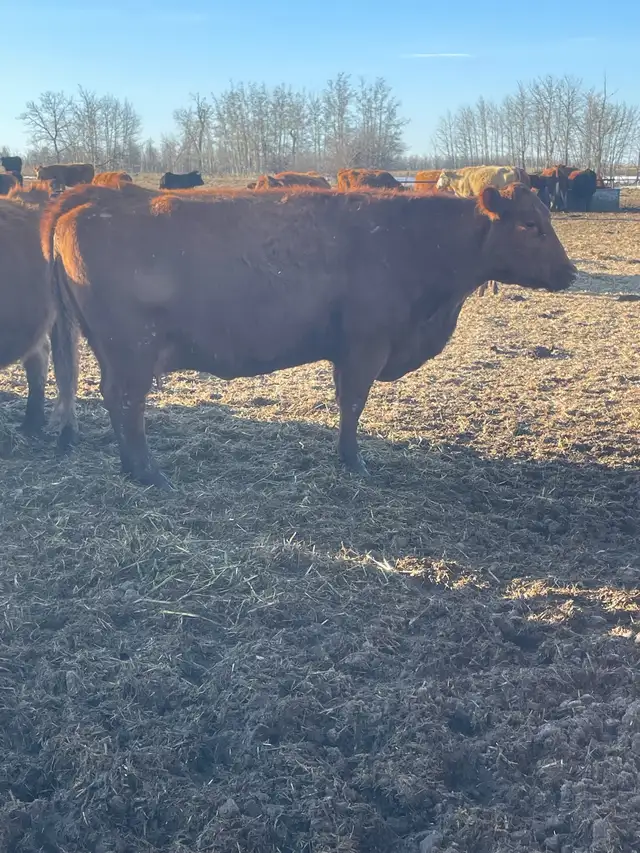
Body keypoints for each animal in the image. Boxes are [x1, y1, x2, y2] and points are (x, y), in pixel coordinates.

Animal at [44, 182, 576, 489]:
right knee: (125, 403)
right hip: (131, 352)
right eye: (530, 224)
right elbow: (353, 404)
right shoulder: (366, 345)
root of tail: (88, 199)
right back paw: (149, 474)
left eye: (546, 220)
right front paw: (354, 462)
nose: (570, 273)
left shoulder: (347, 350)